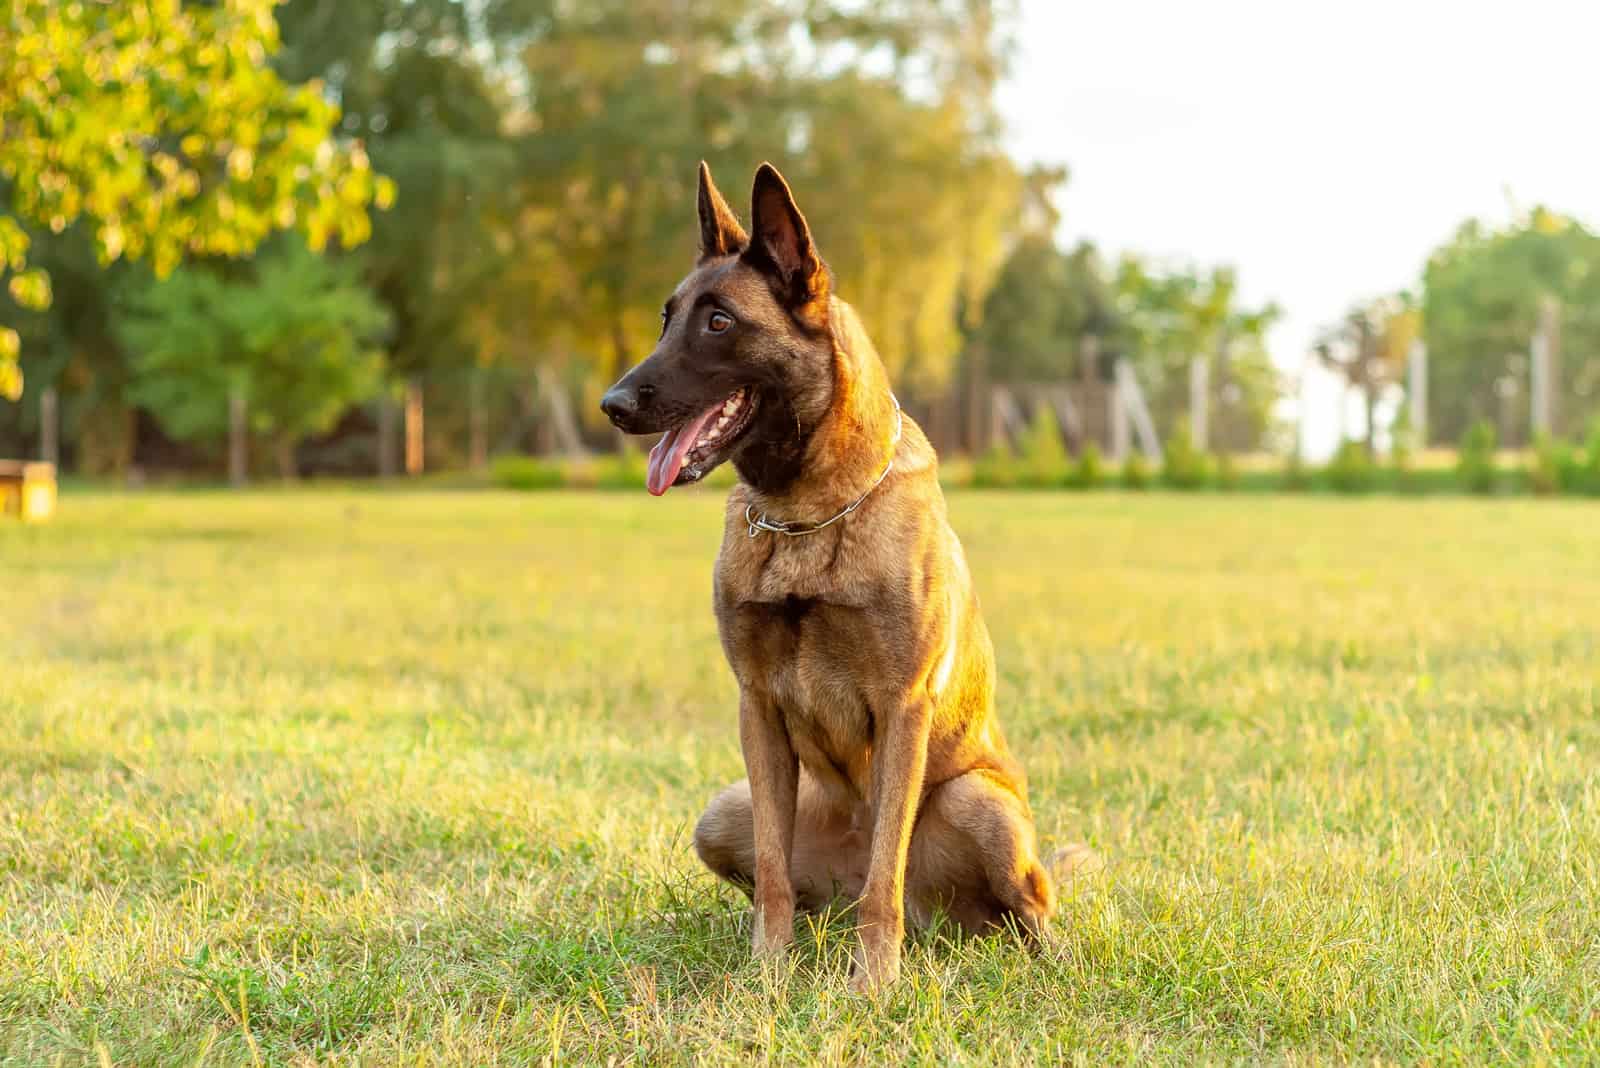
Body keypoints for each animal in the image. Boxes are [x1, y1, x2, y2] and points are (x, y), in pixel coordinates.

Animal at [604, 160, 1081, 991]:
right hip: (721, 810)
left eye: (719, 322)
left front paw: (874, 985)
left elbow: (885, 875)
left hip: (980, 804)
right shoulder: (758, 711)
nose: (613, 403)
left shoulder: (902, 709)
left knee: (1018, 907)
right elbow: (770, 869)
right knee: (801, 884)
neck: (806, 516)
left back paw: (1042, 958)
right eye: (667, 319)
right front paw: (766, 973)